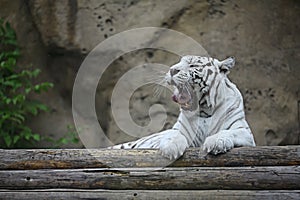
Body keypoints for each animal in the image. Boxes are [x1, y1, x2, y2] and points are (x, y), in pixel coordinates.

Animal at [109, 55, 255, 159]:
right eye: (179, 62)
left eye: (192, 65)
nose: (172, 70)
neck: (204, 109)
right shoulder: (180, 130)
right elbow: (174, 135)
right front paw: (171, 148)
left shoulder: (244, 132)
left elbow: (228, 132)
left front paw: (216, 142)